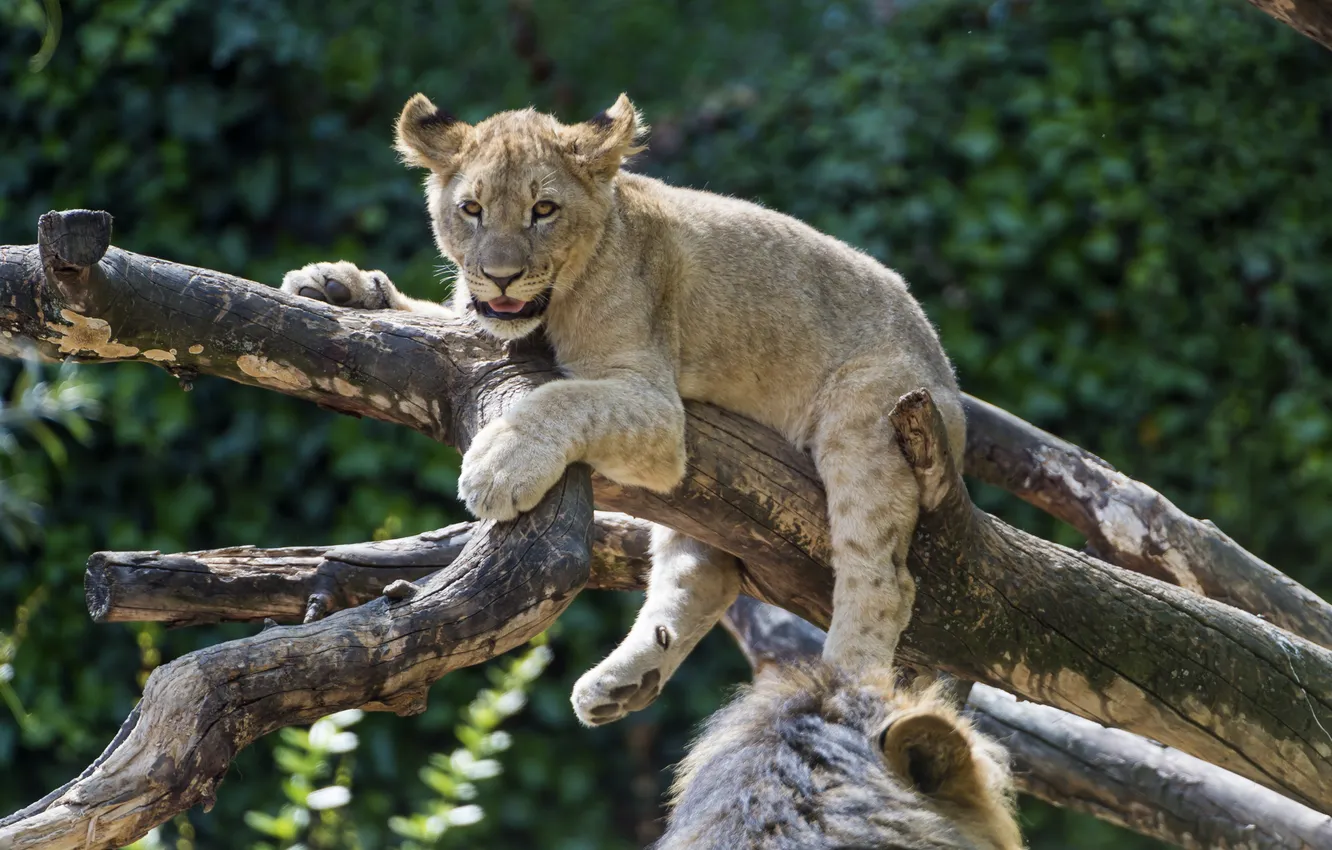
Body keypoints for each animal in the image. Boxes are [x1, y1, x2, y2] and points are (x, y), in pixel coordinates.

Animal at [281, 93, 966, 726]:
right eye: (471, 210)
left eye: (543, 210)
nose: (500, 277)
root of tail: (944, 371)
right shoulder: (480, 323)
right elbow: (430, 314)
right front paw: (338, 285)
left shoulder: (656, 405)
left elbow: (563, 397)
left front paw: (498, 465)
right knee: (703, 573)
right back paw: (622, 685)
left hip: (870, 417)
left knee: (885, 579)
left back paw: (843, 687)